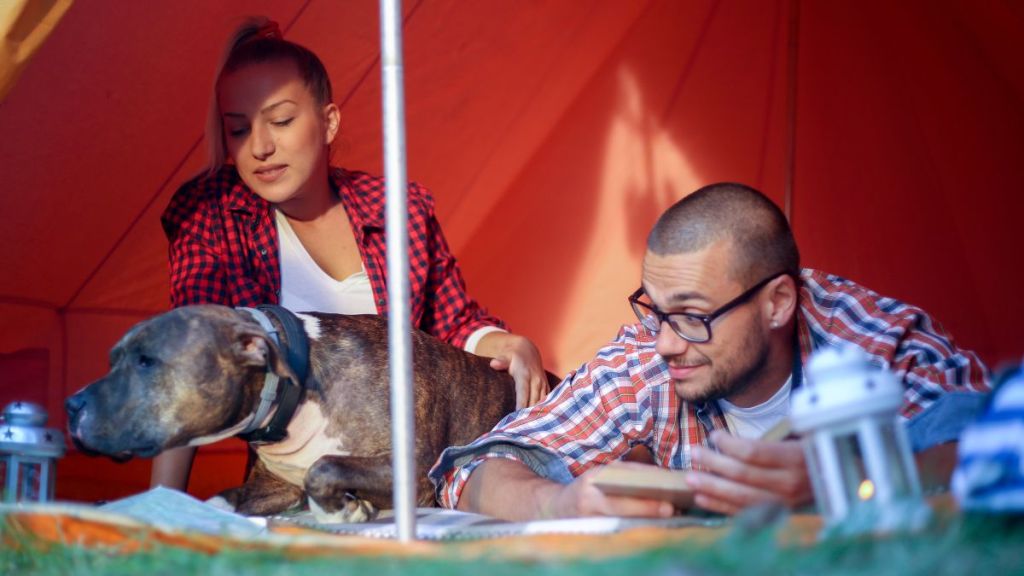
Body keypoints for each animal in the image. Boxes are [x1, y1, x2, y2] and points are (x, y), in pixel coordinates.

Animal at [66, 305, 536, 520]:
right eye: (112, 359)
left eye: (146, 361)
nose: (71, 405)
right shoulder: (275, 486)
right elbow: (222, 498)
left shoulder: (416, 471)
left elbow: (323, 467)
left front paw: (342, 511)